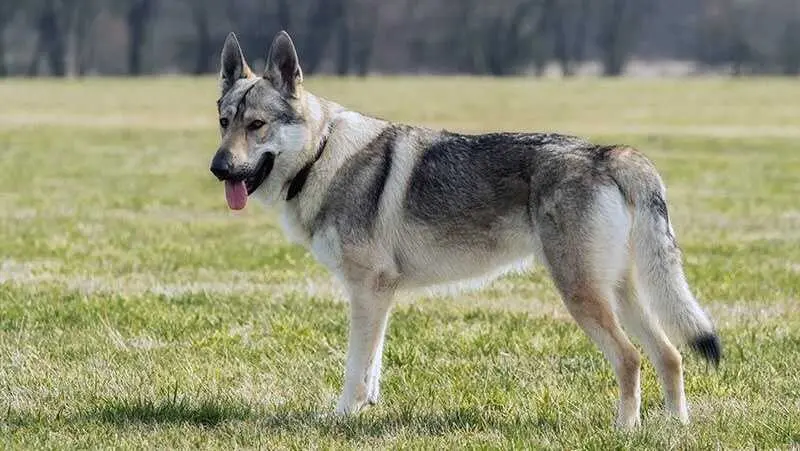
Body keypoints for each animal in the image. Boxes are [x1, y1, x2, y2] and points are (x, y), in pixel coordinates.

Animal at [209, 31, 721, 428]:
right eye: (224, 122)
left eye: (257, 125)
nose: (218, 168)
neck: (322, 155)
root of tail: (609, 153)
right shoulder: (380, 294)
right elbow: (372, 365)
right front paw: (365, 409)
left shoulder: (368, 290)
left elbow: (354, 368)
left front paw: (340, 419)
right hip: (619, 292)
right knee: (670, 355)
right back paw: (674, 428)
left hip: (582, 295)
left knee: (631, 358)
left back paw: (626, 430)